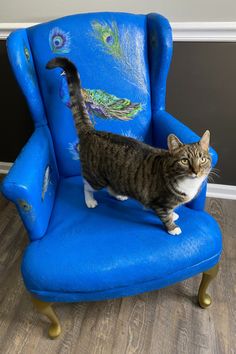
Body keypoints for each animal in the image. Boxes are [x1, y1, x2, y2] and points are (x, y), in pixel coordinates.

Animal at [46, 57, 212, 235]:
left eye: (202, 159)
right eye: (184, 161)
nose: (196, 171)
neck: (188, 184)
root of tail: (91, 131)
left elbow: (171, 210)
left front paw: (174, 214)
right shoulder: (159, 202)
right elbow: (165, 215)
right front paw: (172, 227)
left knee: (110, 186)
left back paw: (119, 195)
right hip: (96, 177)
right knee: (86, 184)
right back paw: (90, 200)